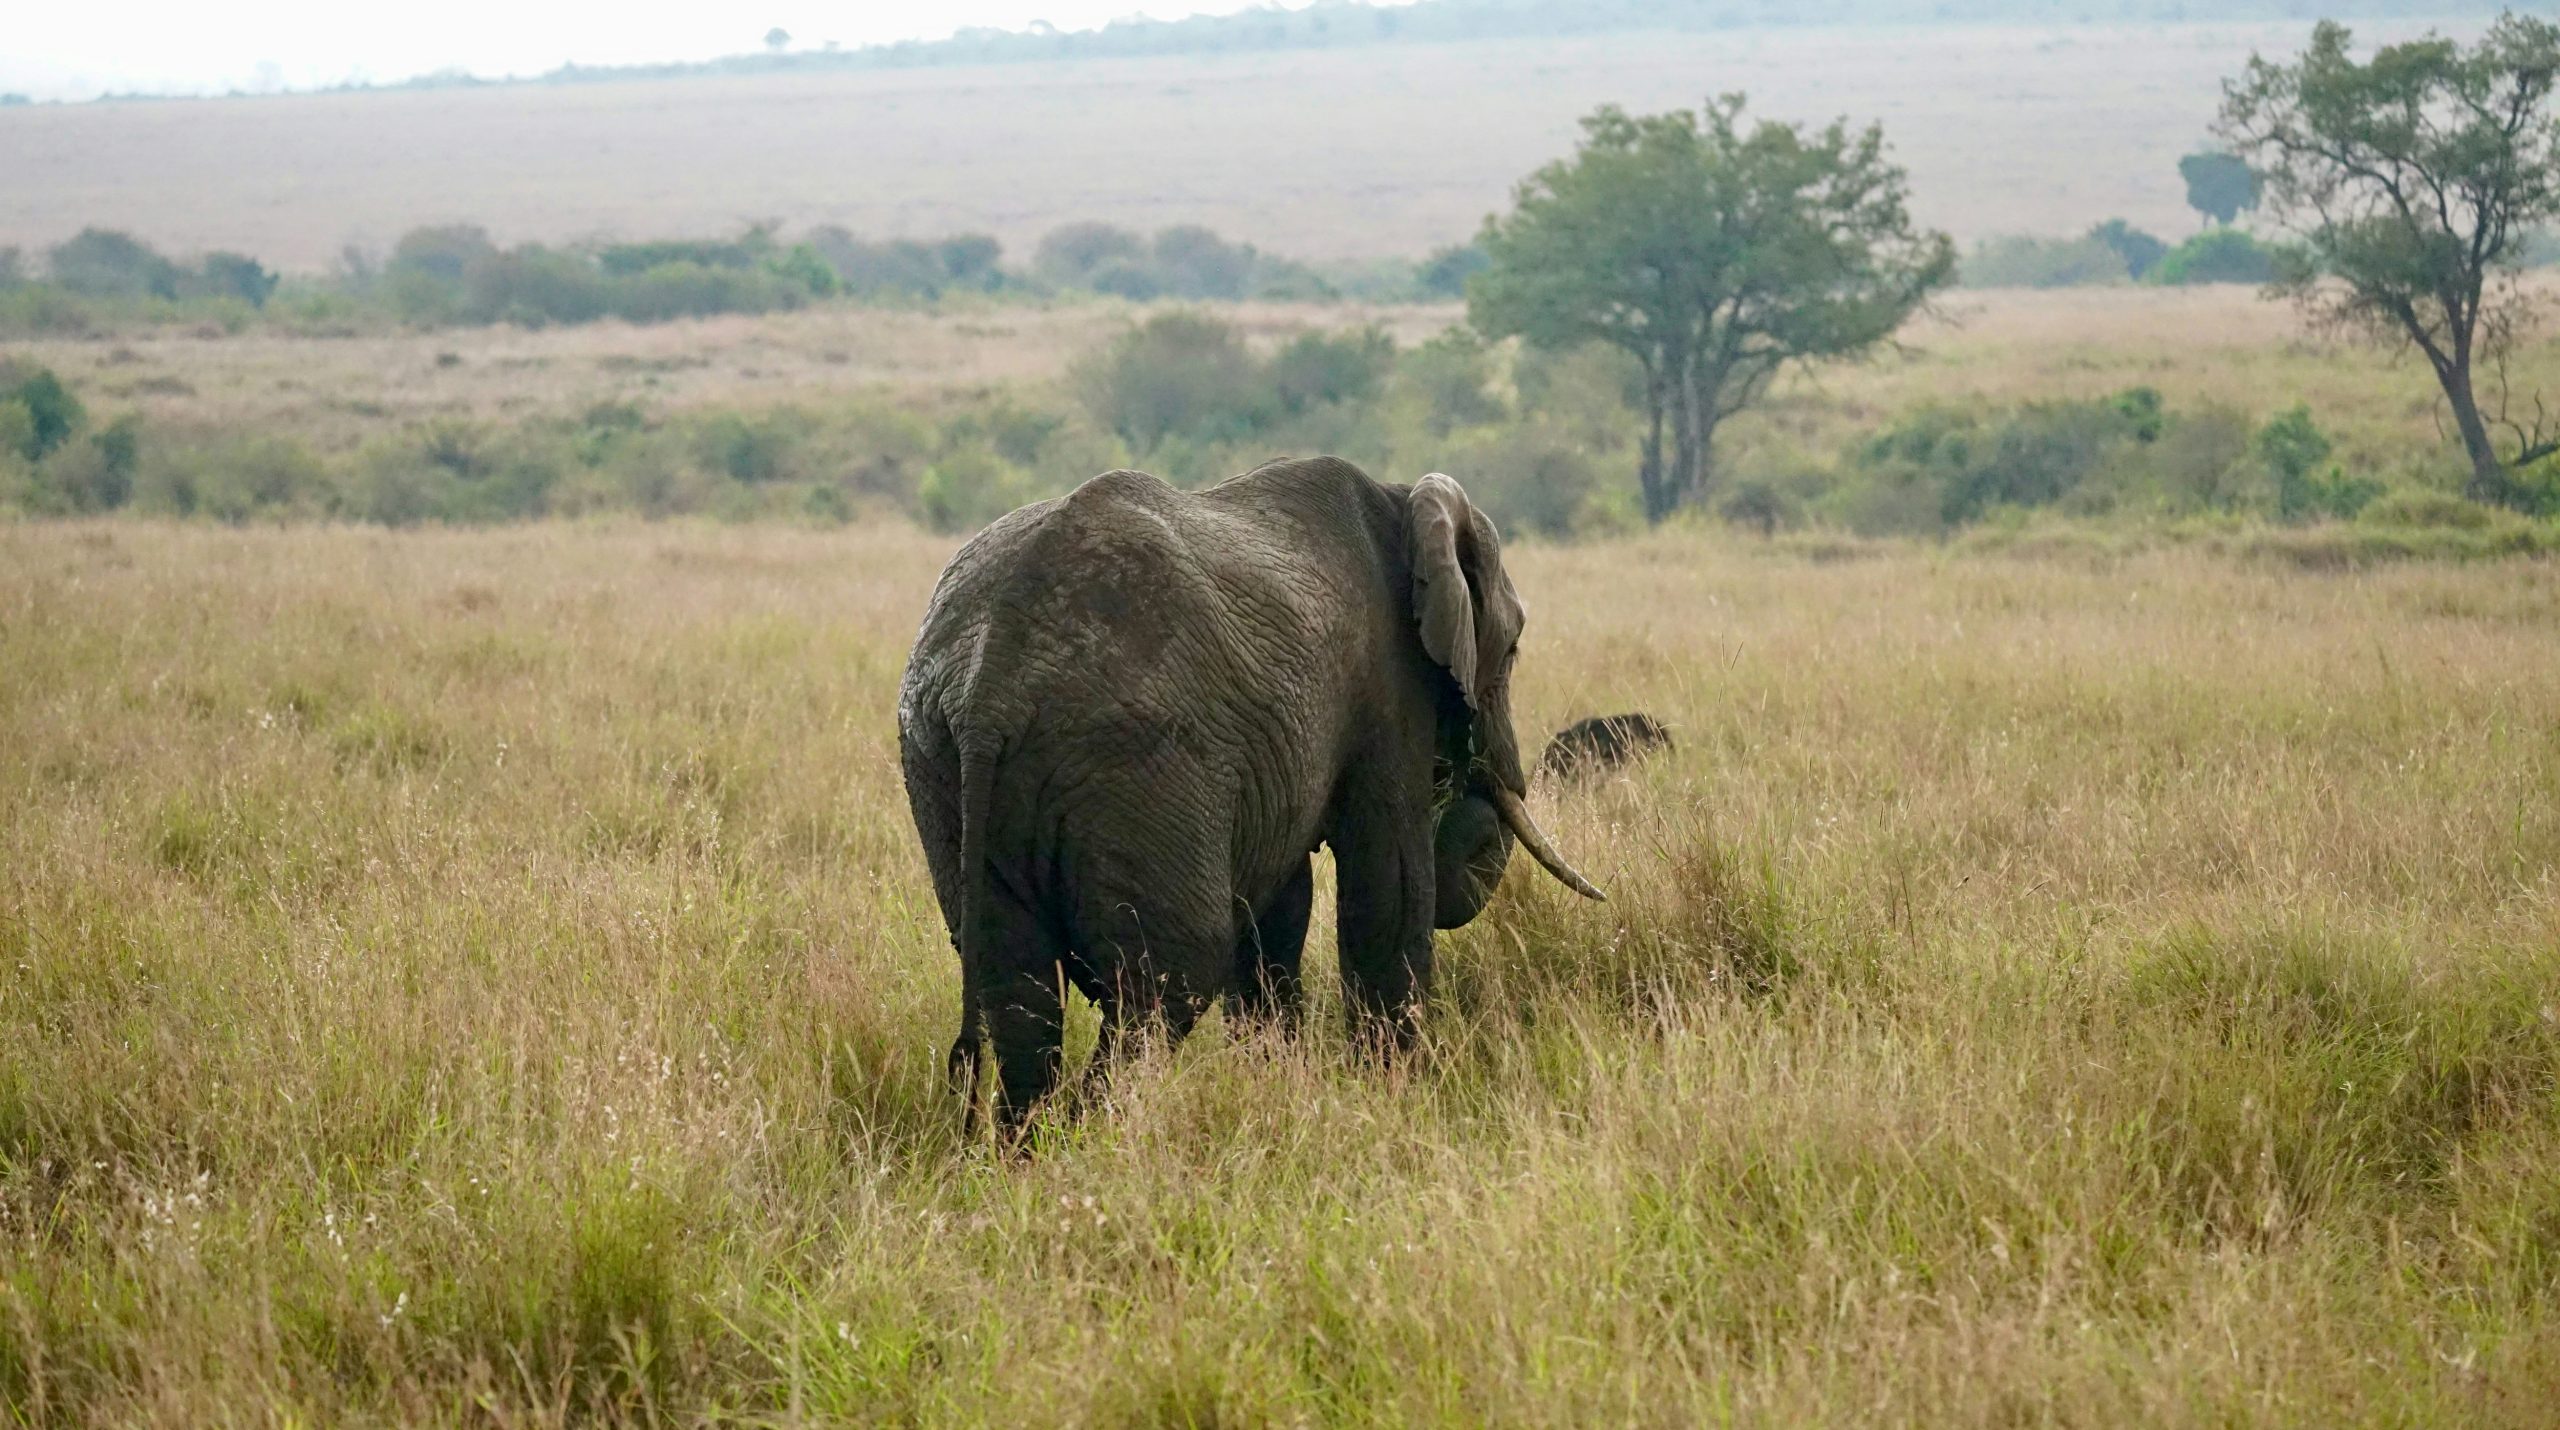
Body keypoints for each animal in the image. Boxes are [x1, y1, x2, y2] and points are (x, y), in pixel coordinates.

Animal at [897, 456, 1602, 1134]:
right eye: (1513, 650)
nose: (1476, 778)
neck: (1404, 498)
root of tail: (991, 690)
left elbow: (1279, 909)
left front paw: (1285, 1085)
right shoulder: (1388, 688)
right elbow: (1389, 887)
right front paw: (1396, 1098)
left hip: (941, 764)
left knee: (1017, 988)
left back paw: (1033, 1153)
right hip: (1138, 765)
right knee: (1166, 982)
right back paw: (1095, 1140)